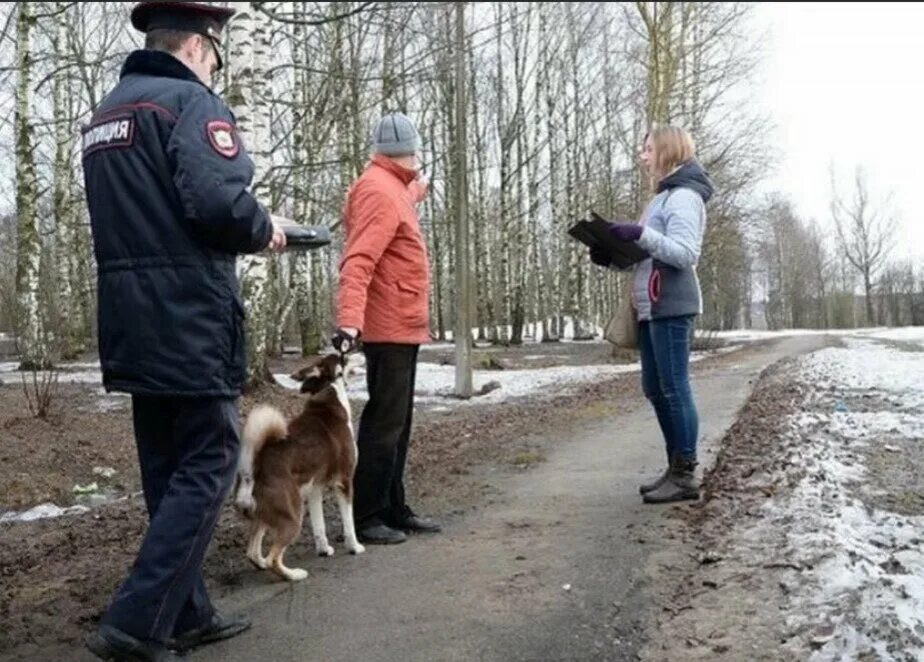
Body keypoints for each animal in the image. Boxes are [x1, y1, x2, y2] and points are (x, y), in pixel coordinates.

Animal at [231, 352, 364, 580]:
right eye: (344, 358)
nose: (359, 351)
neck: (329, 392)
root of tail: (252, 470)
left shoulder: (315, 490)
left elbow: (319, 526)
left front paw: (324, 550)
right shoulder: (344, 482)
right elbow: (349, 524)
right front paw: (354, 547)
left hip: (264, 513)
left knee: (253, 552)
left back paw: (262, 564)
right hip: (292, 516)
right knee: (274, 557)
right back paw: (293, 574)